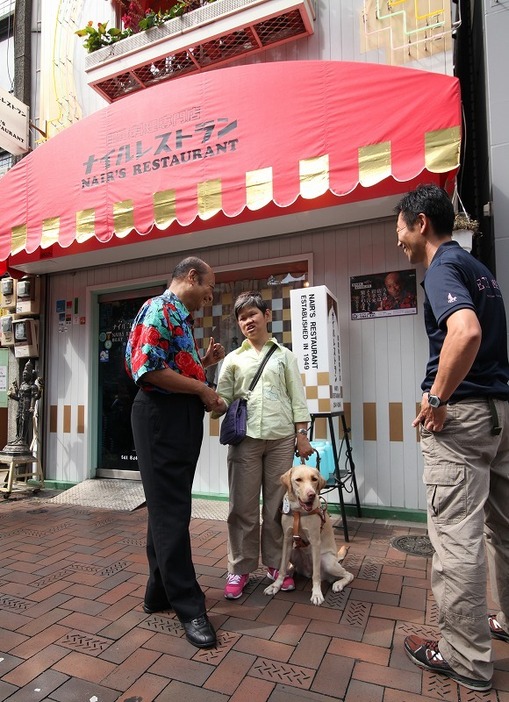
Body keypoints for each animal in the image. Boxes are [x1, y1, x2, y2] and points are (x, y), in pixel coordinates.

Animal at [262, 464, 354, 608]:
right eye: (298, 480)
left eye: (314, 479)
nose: (311, 495)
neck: (299, 512)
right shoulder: (287, 539)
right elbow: (282, 567)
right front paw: (276, 585)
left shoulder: (315, 541)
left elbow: (316, 576)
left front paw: (316, 594)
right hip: (293, 552)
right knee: (292, 567)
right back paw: (290, 573)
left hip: (327, 562)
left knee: (348, 574)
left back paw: (338, 584)